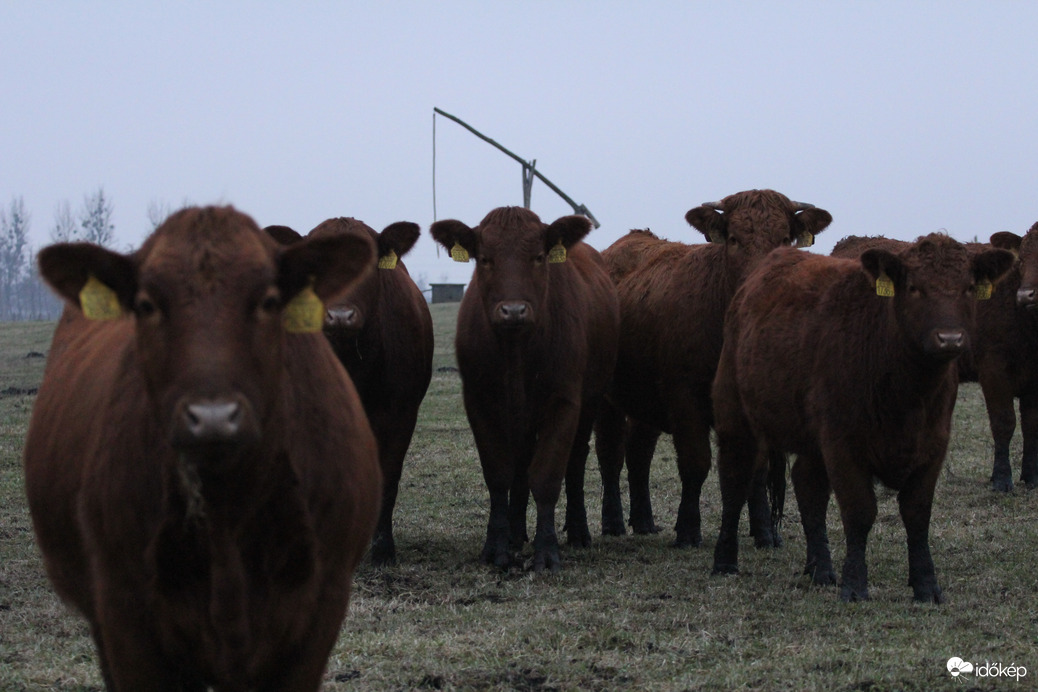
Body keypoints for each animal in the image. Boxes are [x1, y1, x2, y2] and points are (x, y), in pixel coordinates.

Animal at [427, 207, 614, 572]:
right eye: (485, 258)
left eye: (539, 257)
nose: (513, 310)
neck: (516, 352)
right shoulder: (479, 402)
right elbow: (499, 474)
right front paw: (496, 547)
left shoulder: (564, 402)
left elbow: (547, 475)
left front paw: (546, 551)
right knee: (520, 464)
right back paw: (515, 534)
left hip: (588, 401)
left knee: (575, 461)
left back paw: (578, 531)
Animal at [597, 189, 830, 547]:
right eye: (733, 238)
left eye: (784, 239)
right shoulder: (685, 397)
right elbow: (696, 462)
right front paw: (688, 530)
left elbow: (757, 469)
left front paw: (764, 532)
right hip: (607, 399)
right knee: (610, 453)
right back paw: (613, 522)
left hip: (644, 399)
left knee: (639, 452)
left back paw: (644, 520)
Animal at [709, 232, 1008, 601]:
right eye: (914, 288)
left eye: (968, 287)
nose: (949, 339)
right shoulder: (844, 446)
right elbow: (859, 512)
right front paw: (854, 585)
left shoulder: (934, 444)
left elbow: (917, 514)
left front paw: (926, 585)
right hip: (735, 417)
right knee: (733, 482)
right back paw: (724, 561)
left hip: (811, 437)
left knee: (808, 487)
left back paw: (820, 569)